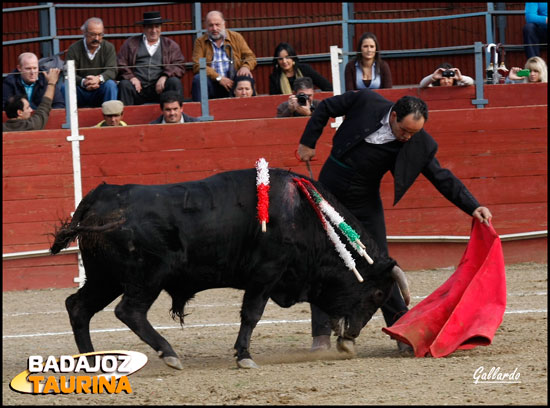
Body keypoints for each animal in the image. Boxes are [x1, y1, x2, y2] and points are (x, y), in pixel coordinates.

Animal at [50, 167, 410, 368]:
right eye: (378, 294)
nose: (349, 340)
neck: (305, 217)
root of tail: (100, 196)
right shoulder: (266, 273)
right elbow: (251, 314)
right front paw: (244, 356)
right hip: (147, 277)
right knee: (129, 311)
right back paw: (169, 354)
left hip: (105, 278)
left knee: (78, 306)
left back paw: (92, 363)